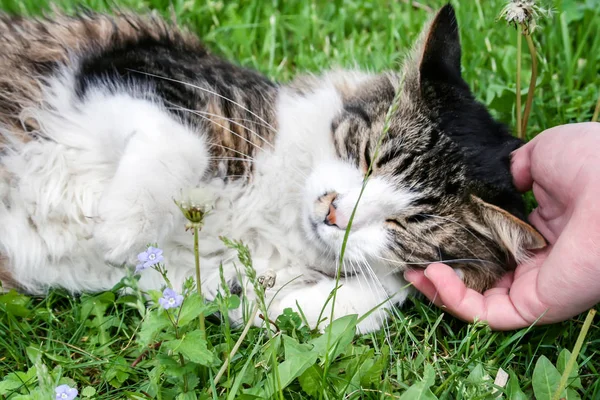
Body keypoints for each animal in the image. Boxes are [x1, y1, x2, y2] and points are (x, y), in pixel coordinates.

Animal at [0, 4, 544, 332]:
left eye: (404, 223)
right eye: (368, 158)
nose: (331, 212)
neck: (276, 210)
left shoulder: (181, 278)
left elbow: (377, 297)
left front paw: (286, 308)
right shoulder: (134, 68)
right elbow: (183, 143)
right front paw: (121, 224)